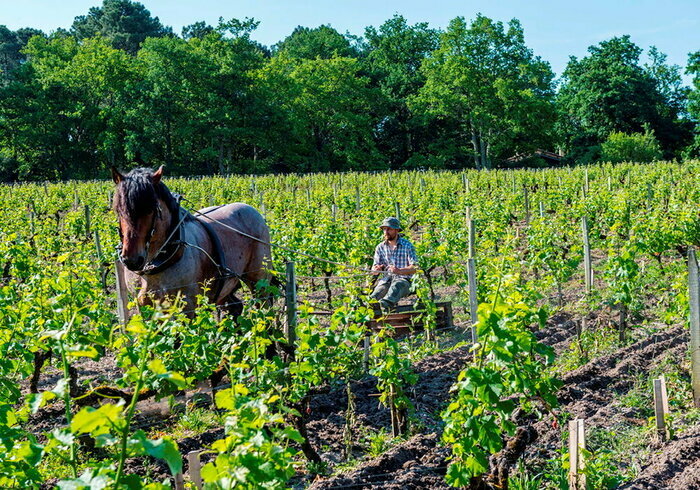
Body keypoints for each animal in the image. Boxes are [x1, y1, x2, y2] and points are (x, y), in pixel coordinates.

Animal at [110, 167, 272, 316]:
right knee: (234, 308)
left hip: (259, 280)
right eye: (118, 210)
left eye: (150, 210)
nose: (131, 260)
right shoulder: (144, 307)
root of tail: (253, 210)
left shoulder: (186, 307)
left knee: (266, 307)